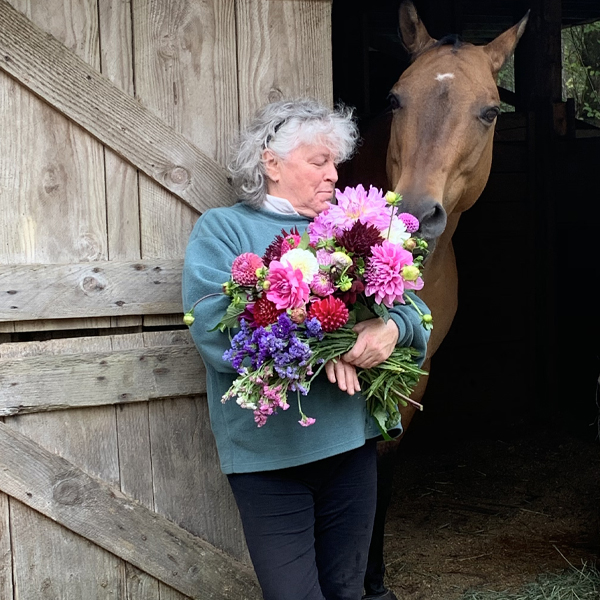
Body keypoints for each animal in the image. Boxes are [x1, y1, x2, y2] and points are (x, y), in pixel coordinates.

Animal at [356, 3, 528, 596]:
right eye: (393, 99)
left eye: (491, 112)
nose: (414, 211)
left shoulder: (416, 372)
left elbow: (382, 465)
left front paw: (375, 580)